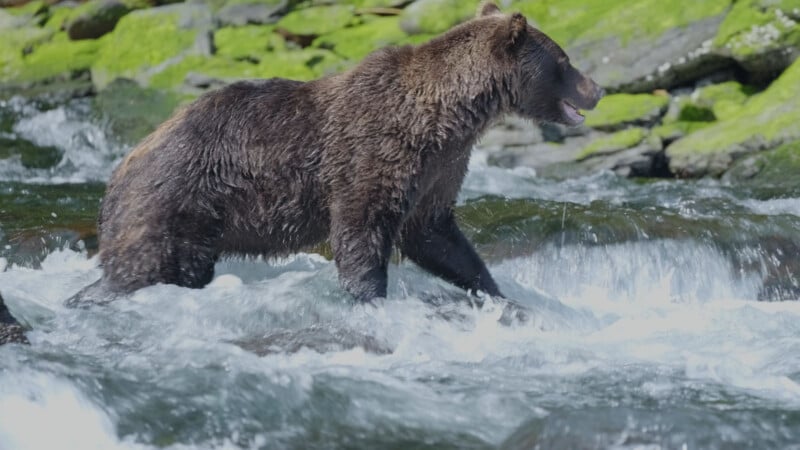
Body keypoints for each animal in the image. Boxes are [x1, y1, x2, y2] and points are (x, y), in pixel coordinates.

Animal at [74, 2, 603, 305]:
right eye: (564, 60)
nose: (596, 89)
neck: (448, 114)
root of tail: (119, 167)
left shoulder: (441, 166)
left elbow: (435, 234)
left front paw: (495, 291)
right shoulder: (374, 152)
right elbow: (360, 230)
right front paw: (370, 298)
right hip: (174, 200)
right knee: (145, 266)